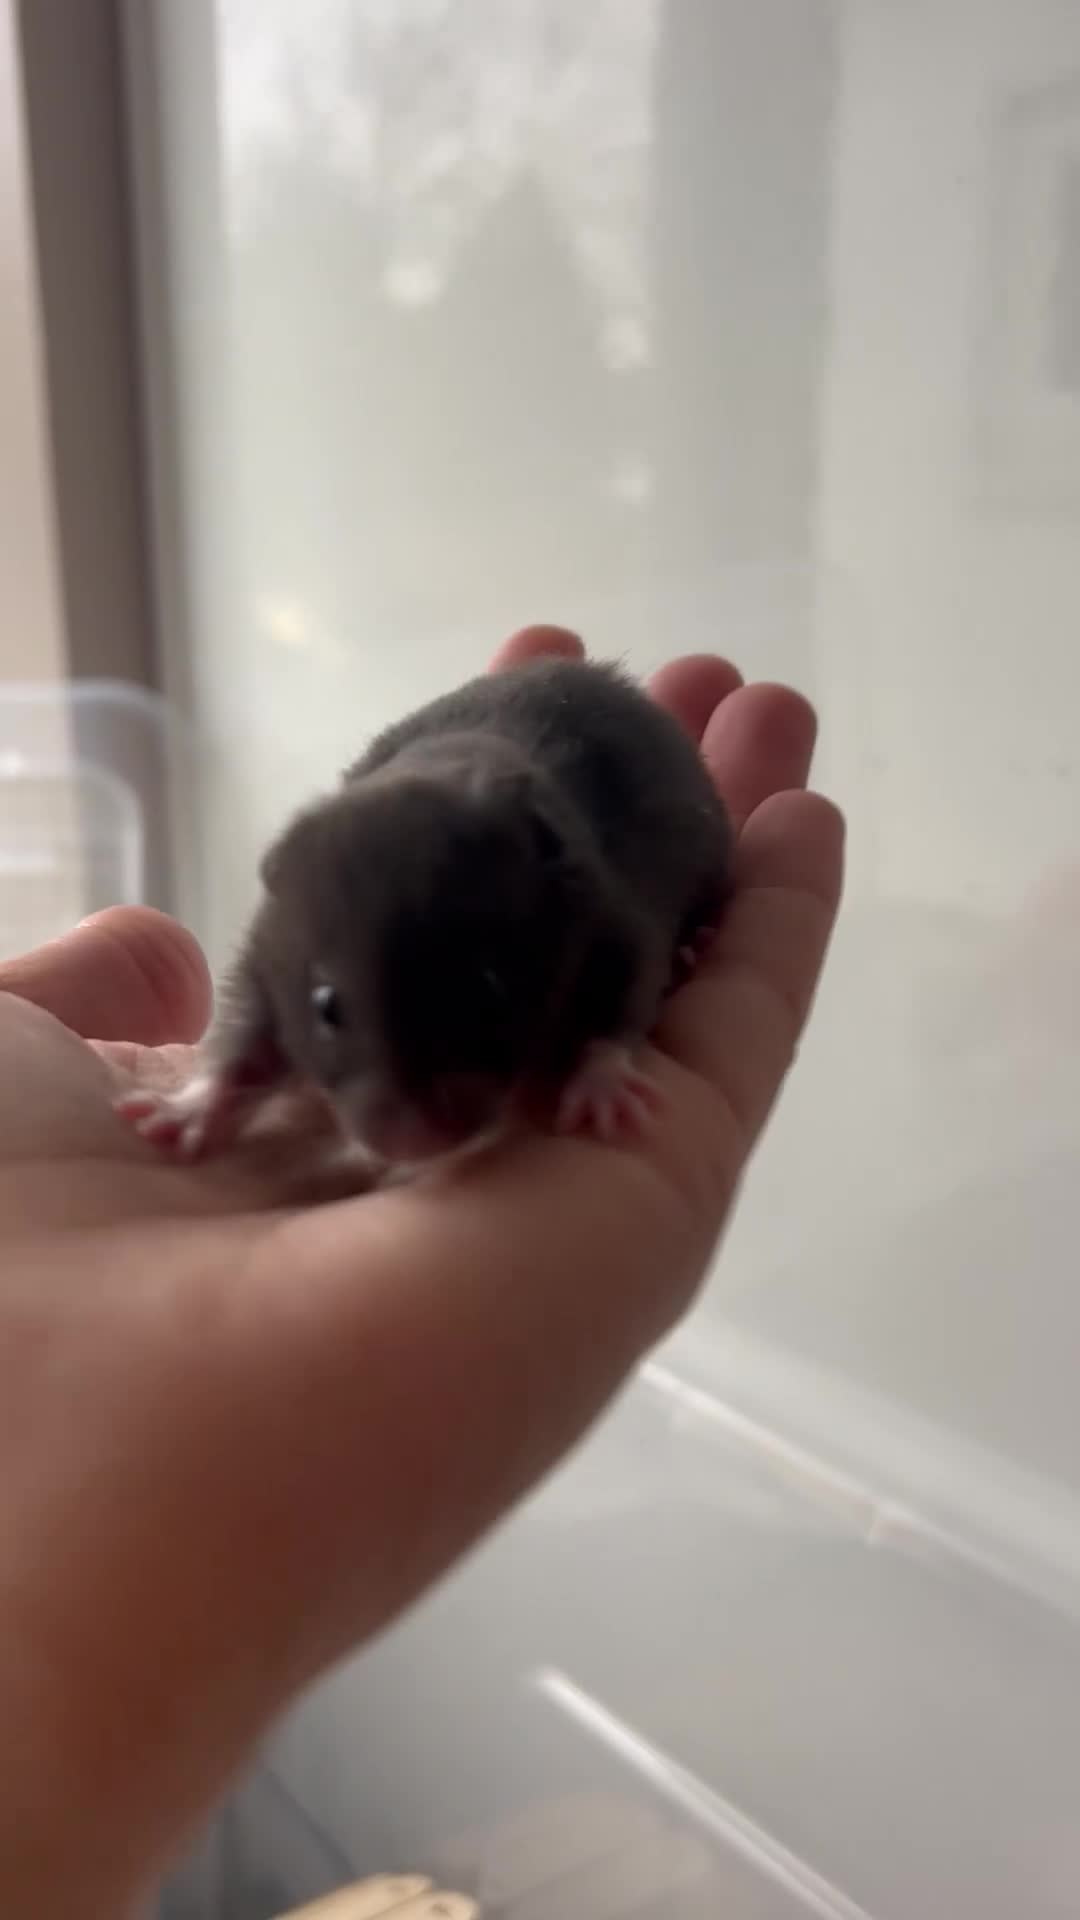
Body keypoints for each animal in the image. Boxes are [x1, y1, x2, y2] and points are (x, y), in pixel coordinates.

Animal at [117, 658, 732, 1168]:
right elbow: (245, 1040)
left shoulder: (608, 916)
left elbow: (624, 1000)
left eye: (489, 989)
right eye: (326, 1006)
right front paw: (187, 1112)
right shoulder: (267, 955)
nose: (415, 1145)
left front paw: (601, 1089)